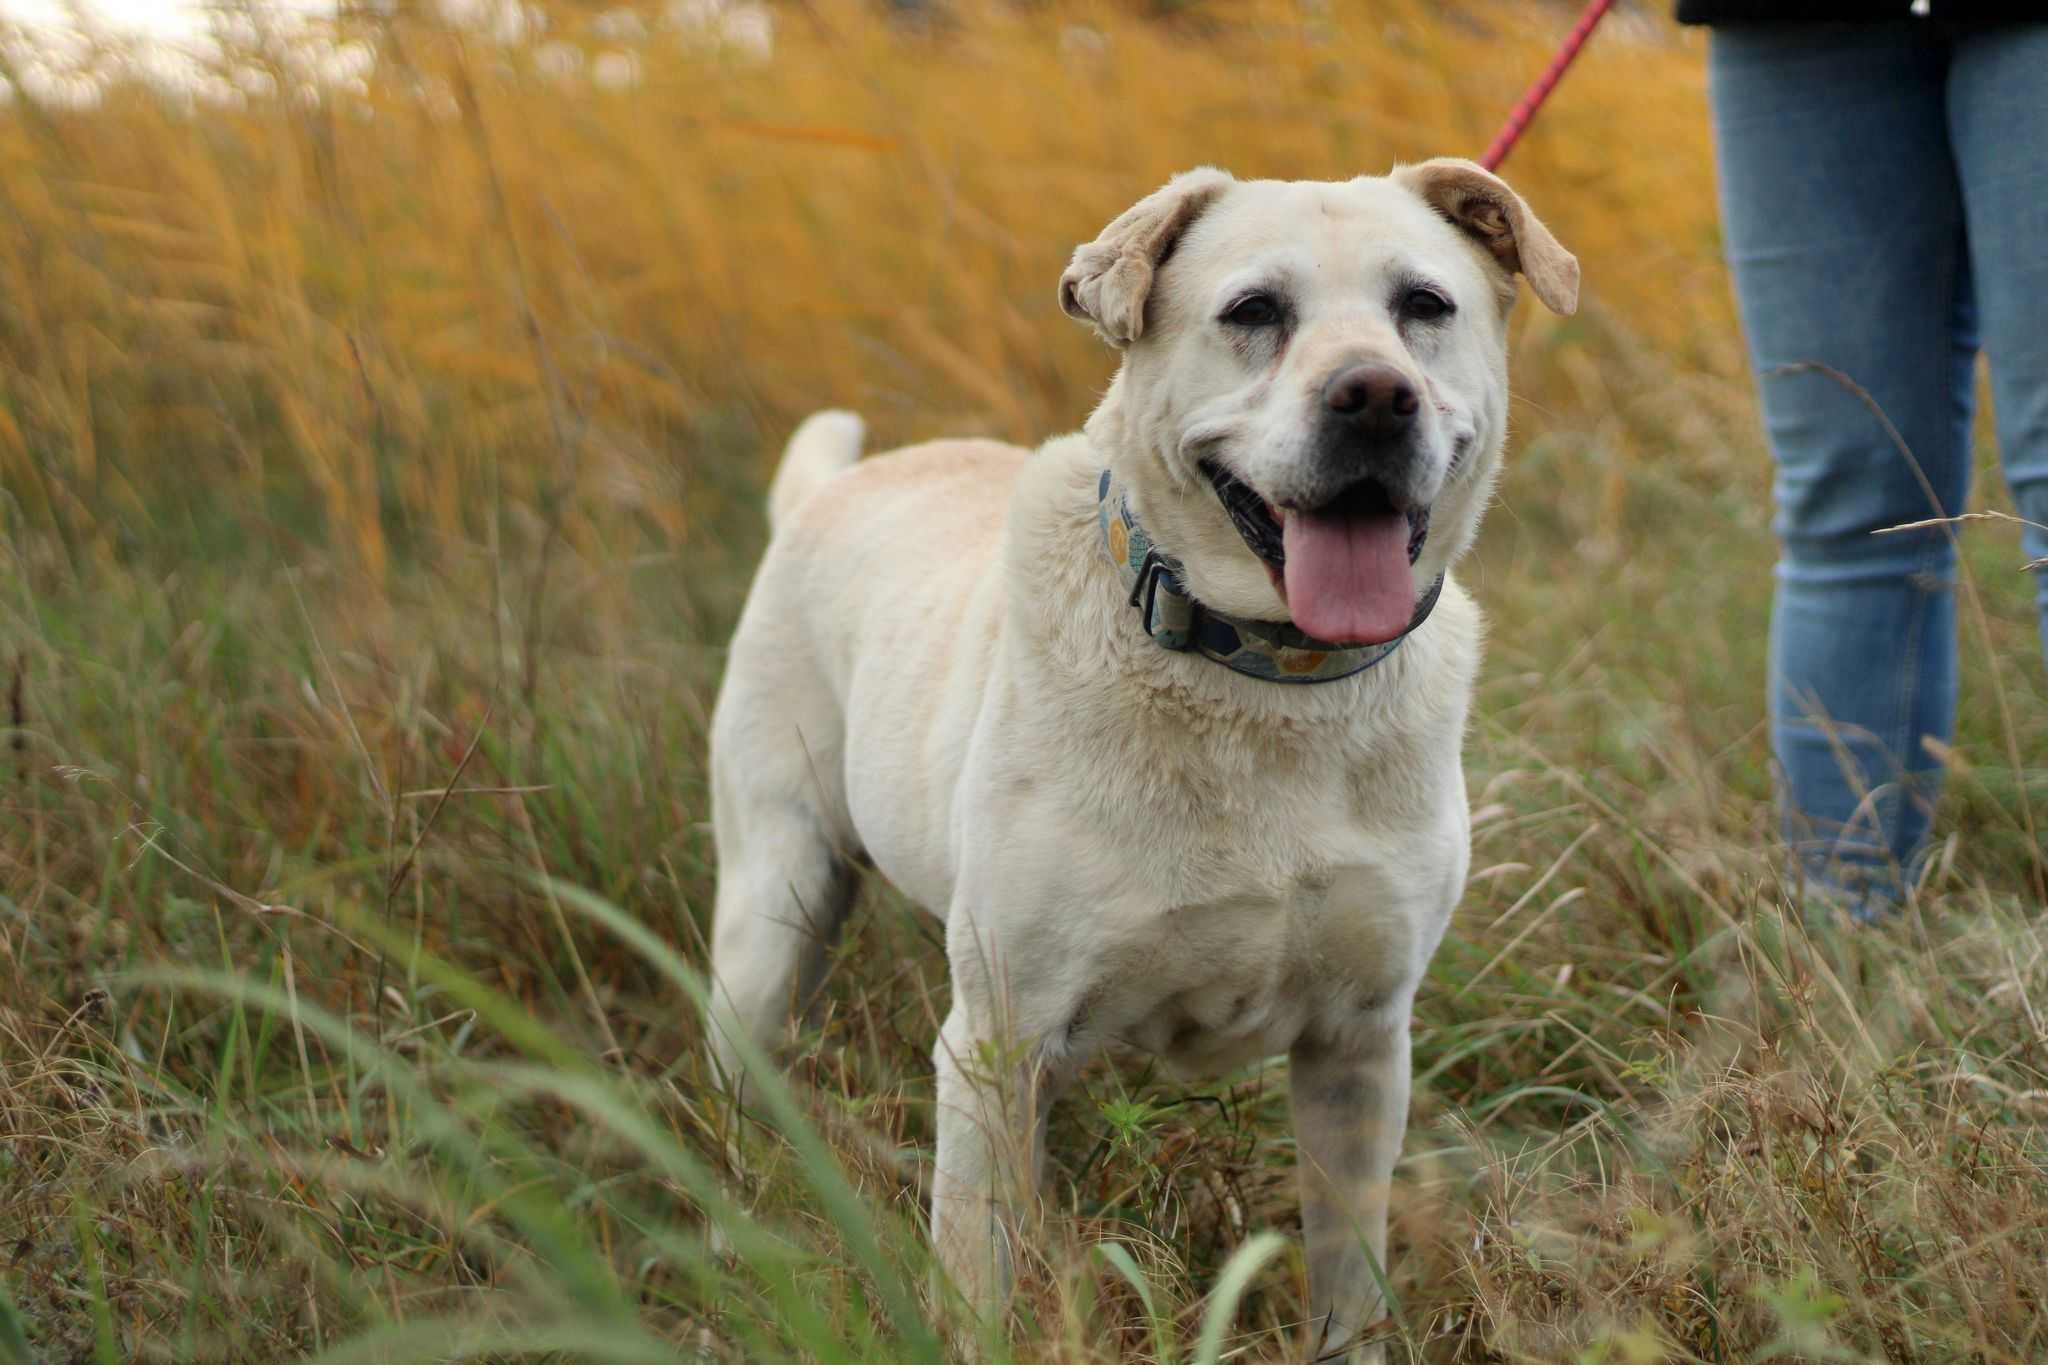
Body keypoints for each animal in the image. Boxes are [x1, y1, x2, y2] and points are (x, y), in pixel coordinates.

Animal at [708, 160, 1581, 1358]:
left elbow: (1346, 1278)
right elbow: (977, 1290)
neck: (1265, 682)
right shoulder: (997, 1044)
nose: (1374, 396)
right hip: (771, 910)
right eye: (1253, 310)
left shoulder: (1360, 1048)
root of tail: (823, 491)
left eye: (1424, 305)